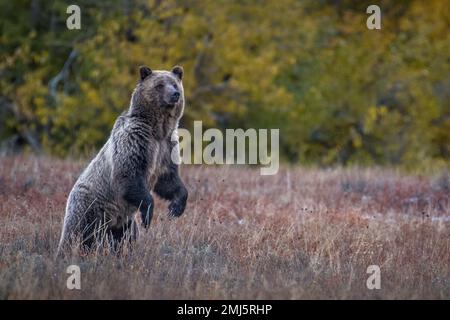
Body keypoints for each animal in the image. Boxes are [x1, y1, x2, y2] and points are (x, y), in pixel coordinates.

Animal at [58, 66, 188, 254]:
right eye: (160, 85)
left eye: (175, 83)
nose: (175, 94)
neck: (157, 130)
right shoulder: (135, 142)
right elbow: (128, 174)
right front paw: (148, 215)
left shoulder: (166, 148)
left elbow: (168, 180)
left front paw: (176, 207)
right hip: (92, 209)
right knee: (82, 234)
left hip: (124, 223)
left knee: (126, 237)